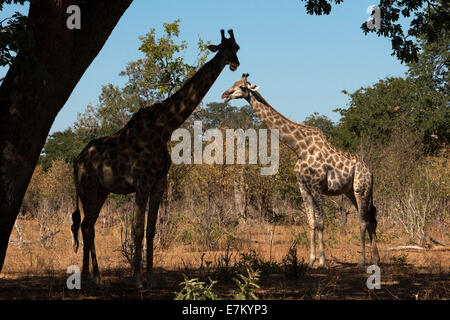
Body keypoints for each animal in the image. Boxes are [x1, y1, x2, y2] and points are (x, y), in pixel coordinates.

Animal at [71, 29, 239, 288]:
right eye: (226, 48)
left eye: (237, 48)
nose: (235, 64)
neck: (164, 127)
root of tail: (76, 161)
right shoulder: (142, 182)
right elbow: (137, 230)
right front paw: (137, 280)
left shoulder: (160, 182)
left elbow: (151, 230)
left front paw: (150, 278)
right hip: (87, 188)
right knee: (87, 226)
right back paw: (94, 278)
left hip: (101, 190)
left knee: (87, 225)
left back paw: (92, 278)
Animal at [221, 74, 380, 268]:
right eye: (234, 83)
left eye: (242, 87)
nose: (225, 94)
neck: (299, 148)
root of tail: (370, 172)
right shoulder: (303, 187)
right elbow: (311, 222)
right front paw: (311, 261)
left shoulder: (317, 186)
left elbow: (321, 222)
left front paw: (322, 262)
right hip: (352, 191)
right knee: (371, 218)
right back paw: (376, 259)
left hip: (360, 189)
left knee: (363, 221)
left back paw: (362, 261)